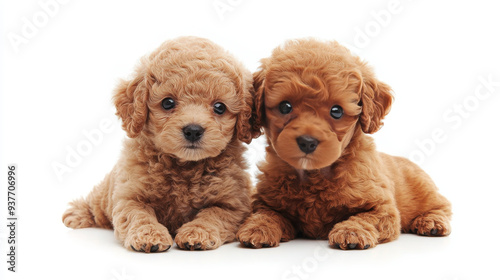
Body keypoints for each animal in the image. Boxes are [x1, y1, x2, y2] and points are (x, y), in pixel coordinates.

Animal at [62, 36, 258, 253]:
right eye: (167, 103)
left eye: (219, 107)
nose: (193, 130)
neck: (185, 166)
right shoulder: (129, 197)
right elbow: (138, 216)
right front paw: (149, 236)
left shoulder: (234, 204)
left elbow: (213, 215)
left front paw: (197, 233)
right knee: (95, 203)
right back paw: (76, 214)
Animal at [236, 38, 452, 249]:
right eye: (285, 107)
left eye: (337, 111)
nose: (307, 142)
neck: (313, 175)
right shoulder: (266, 201)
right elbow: (267, 213)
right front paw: (258, 228)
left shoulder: (383, 207)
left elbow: (366, 216)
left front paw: (352, 231)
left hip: (425, 190)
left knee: (442, 205)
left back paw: (432, 222)